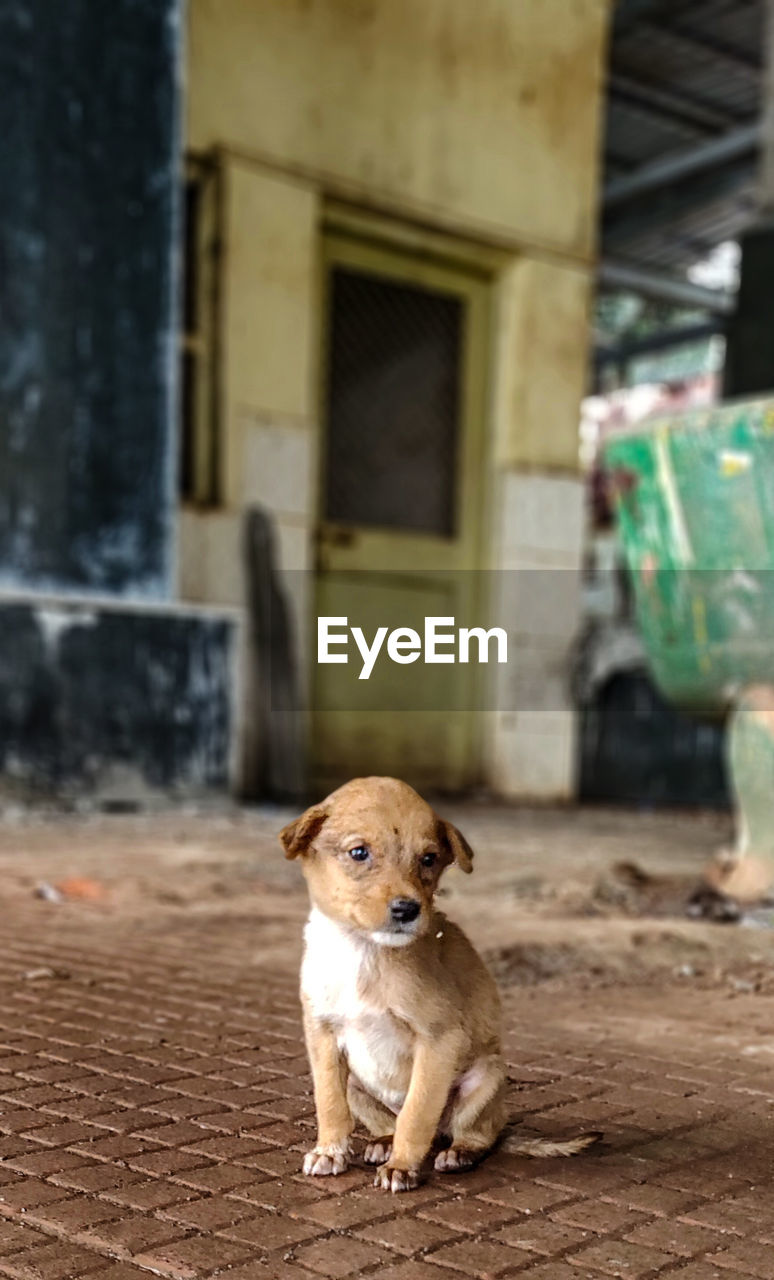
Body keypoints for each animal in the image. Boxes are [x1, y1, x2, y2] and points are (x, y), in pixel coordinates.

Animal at [277, 773, 598, 1192]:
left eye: (428, 859)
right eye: (359, 853)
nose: (408, 909)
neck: (365, 952)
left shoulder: (439, 1039)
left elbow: (416, 1113)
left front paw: (402, 1167)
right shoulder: (322, 1035)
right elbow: (329, 1103)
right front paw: (330, 1151)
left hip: (486, 1077)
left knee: (477, 1133)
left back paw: (457, 1153)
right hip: (358, 1086)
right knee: (388, 1121)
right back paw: (383, 1142)